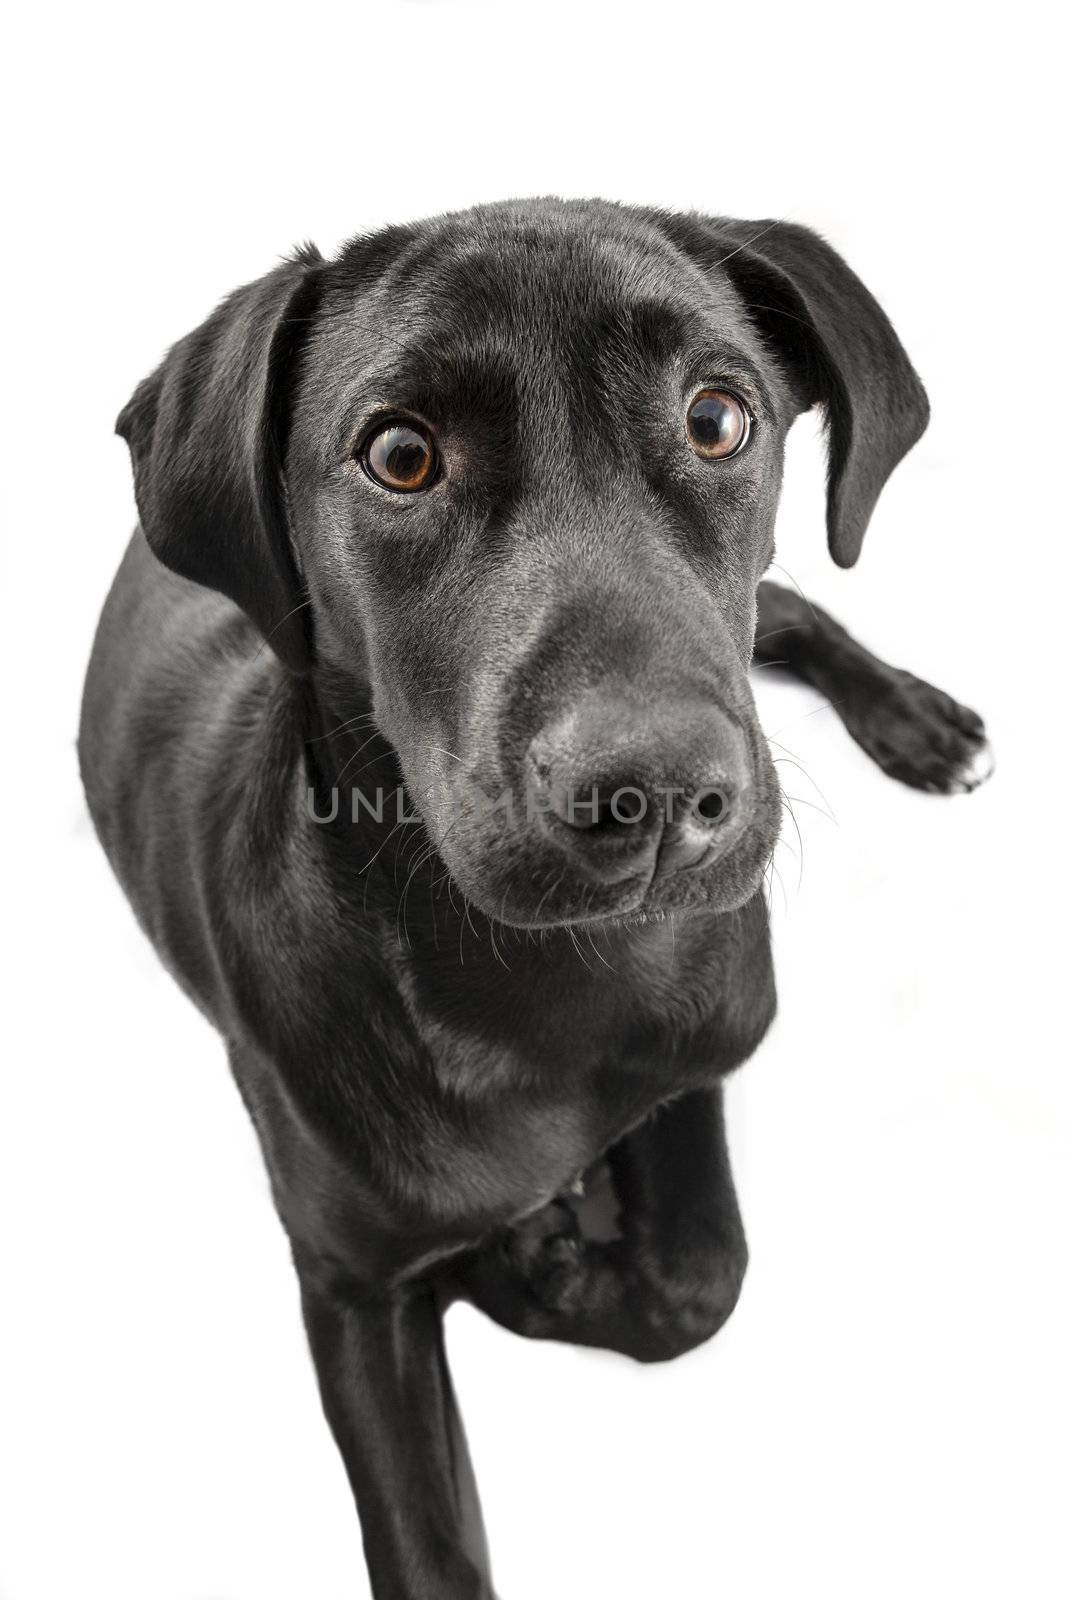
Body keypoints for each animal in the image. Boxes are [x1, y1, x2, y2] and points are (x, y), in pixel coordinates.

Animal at [81, 203, 991, 1600]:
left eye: (716, 418)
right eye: (400, 455)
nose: (652, 792)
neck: (549, 979)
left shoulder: (700, 1050)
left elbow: (701, 1275)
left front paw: (549, 1265)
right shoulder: (348, 1286)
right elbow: (428, 1545)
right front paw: (534, 1254)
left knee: (785, 606)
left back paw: (916, 720)